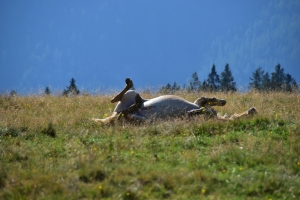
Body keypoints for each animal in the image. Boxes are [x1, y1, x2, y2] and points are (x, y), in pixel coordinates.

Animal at [92, 77, 256, 124]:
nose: (252, 109)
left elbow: (200, 110)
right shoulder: (198, 102)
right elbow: (205, 100)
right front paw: (220, 100)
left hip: (141, 117)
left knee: (124, 111)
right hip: (130, 96)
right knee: (118, 100)